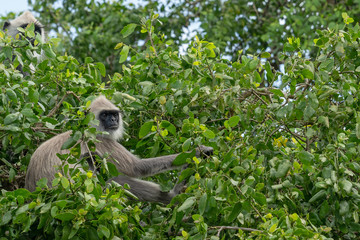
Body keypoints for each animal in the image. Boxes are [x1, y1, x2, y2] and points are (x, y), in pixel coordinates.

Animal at [26, 95, 214, 204]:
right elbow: (136, 168)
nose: (113, 120)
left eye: (114, 114)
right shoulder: (101, 141)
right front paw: (199, 152)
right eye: (105, 115)